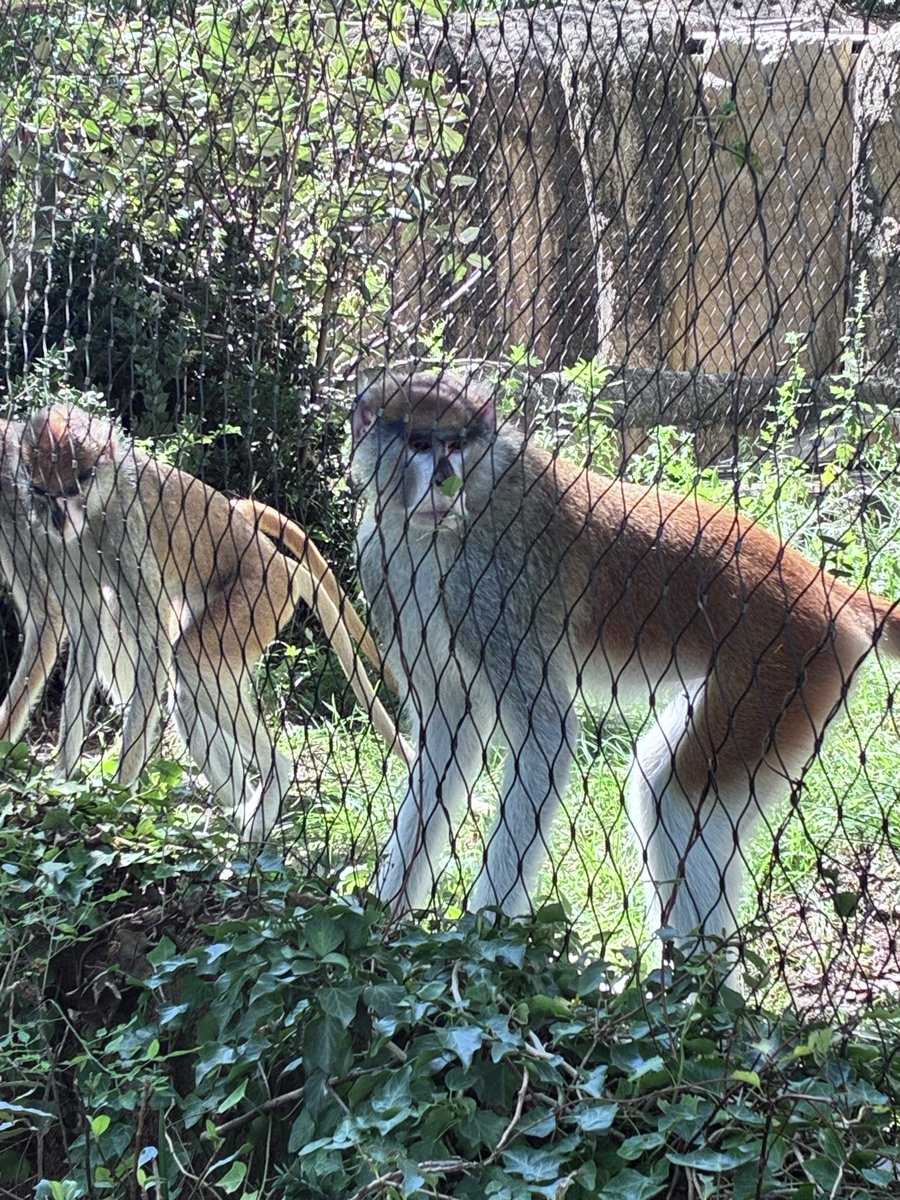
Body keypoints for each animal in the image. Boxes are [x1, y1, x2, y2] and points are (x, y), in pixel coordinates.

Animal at [21, 404, 409, 841]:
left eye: (74, 485)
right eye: (42, 492)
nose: (56, 518)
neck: (101, 500)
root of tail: (282, 566)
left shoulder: (128, 526)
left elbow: (154, 641)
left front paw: (114, 798)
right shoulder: (75, 547)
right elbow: (87, 629)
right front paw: (62, 779)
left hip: (258, 600)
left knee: (190, 659)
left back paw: (272, 781)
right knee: (192, 690)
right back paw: (242, 812)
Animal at [351, 369, 900, 957]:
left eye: (457, 444)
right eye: (419, 444)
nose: (445, 478)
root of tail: (820, 587)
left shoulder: (495, 587)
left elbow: (545, 734)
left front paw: (482, 939)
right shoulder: (384, 565)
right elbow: (447, 733)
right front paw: (384, 918)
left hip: (787, 662)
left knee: (679, 797)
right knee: (664, 788)